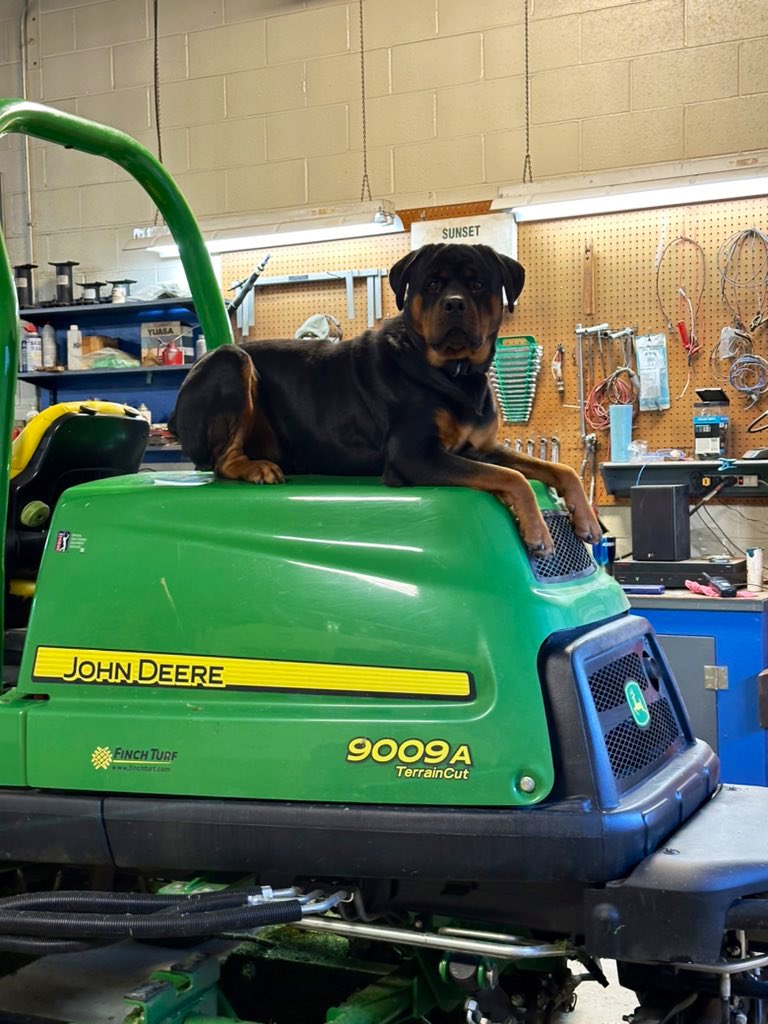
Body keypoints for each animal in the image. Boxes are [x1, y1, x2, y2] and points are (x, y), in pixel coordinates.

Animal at [171, 243, 606, 557]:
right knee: (222, 460)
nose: (454, 303)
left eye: (478, 284)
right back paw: (255, 468)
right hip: (231, 362)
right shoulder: (414, 455)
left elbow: (556, 469)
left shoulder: (482, 448)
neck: (455, 373)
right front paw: (537, 533)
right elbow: (512, 477)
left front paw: (587, 521)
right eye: (431, 284)